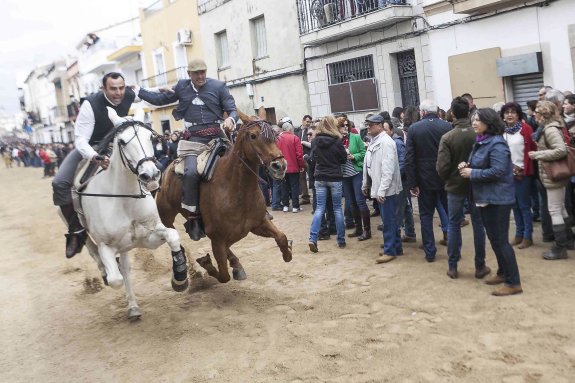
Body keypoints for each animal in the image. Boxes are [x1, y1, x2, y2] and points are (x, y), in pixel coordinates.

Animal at [76, 106, 188, 320]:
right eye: (121, 141)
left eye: (150, 137)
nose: (150, 175)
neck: (124, 199)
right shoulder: (106, 246)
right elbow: (115, 279)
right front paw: (107, 273)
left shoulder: (148, 237)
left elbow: (172, 235)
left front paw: (180, 277)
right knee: (94, 251)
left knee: (126, 269)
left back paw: (134, 307)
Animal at [155, 109, 292, 284]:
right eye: (253, 135)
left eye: (275, 134)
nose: (279, 166)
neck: (236, 191)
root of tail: (167, 169)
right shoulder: (217, 239)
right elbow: (223, 275)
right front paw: (206, 264)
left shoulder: (258, 223)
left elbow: (281, 237)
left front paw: (287, 253)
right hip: (166, 218)